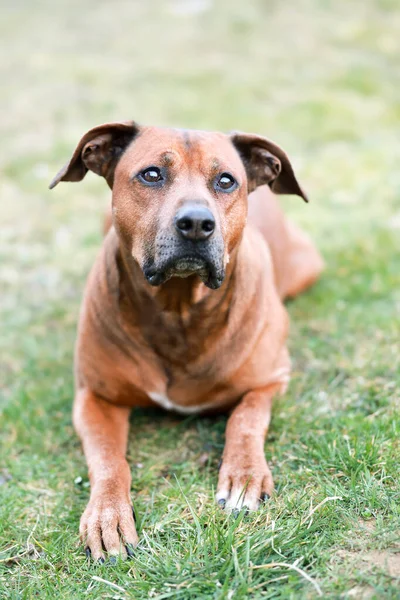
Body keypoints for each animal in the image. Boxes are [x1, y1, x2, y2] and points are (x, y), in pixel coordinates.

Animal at [50, 119, 324, 560]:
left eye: (226, 180)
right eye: (151, 174)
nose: (196, 222)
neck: (178, 312)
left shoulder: (272, 379)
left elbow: (246, 419)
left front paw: (244, 476)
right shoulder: (95, 397)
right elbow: (108, 460)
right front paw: (106, 514)